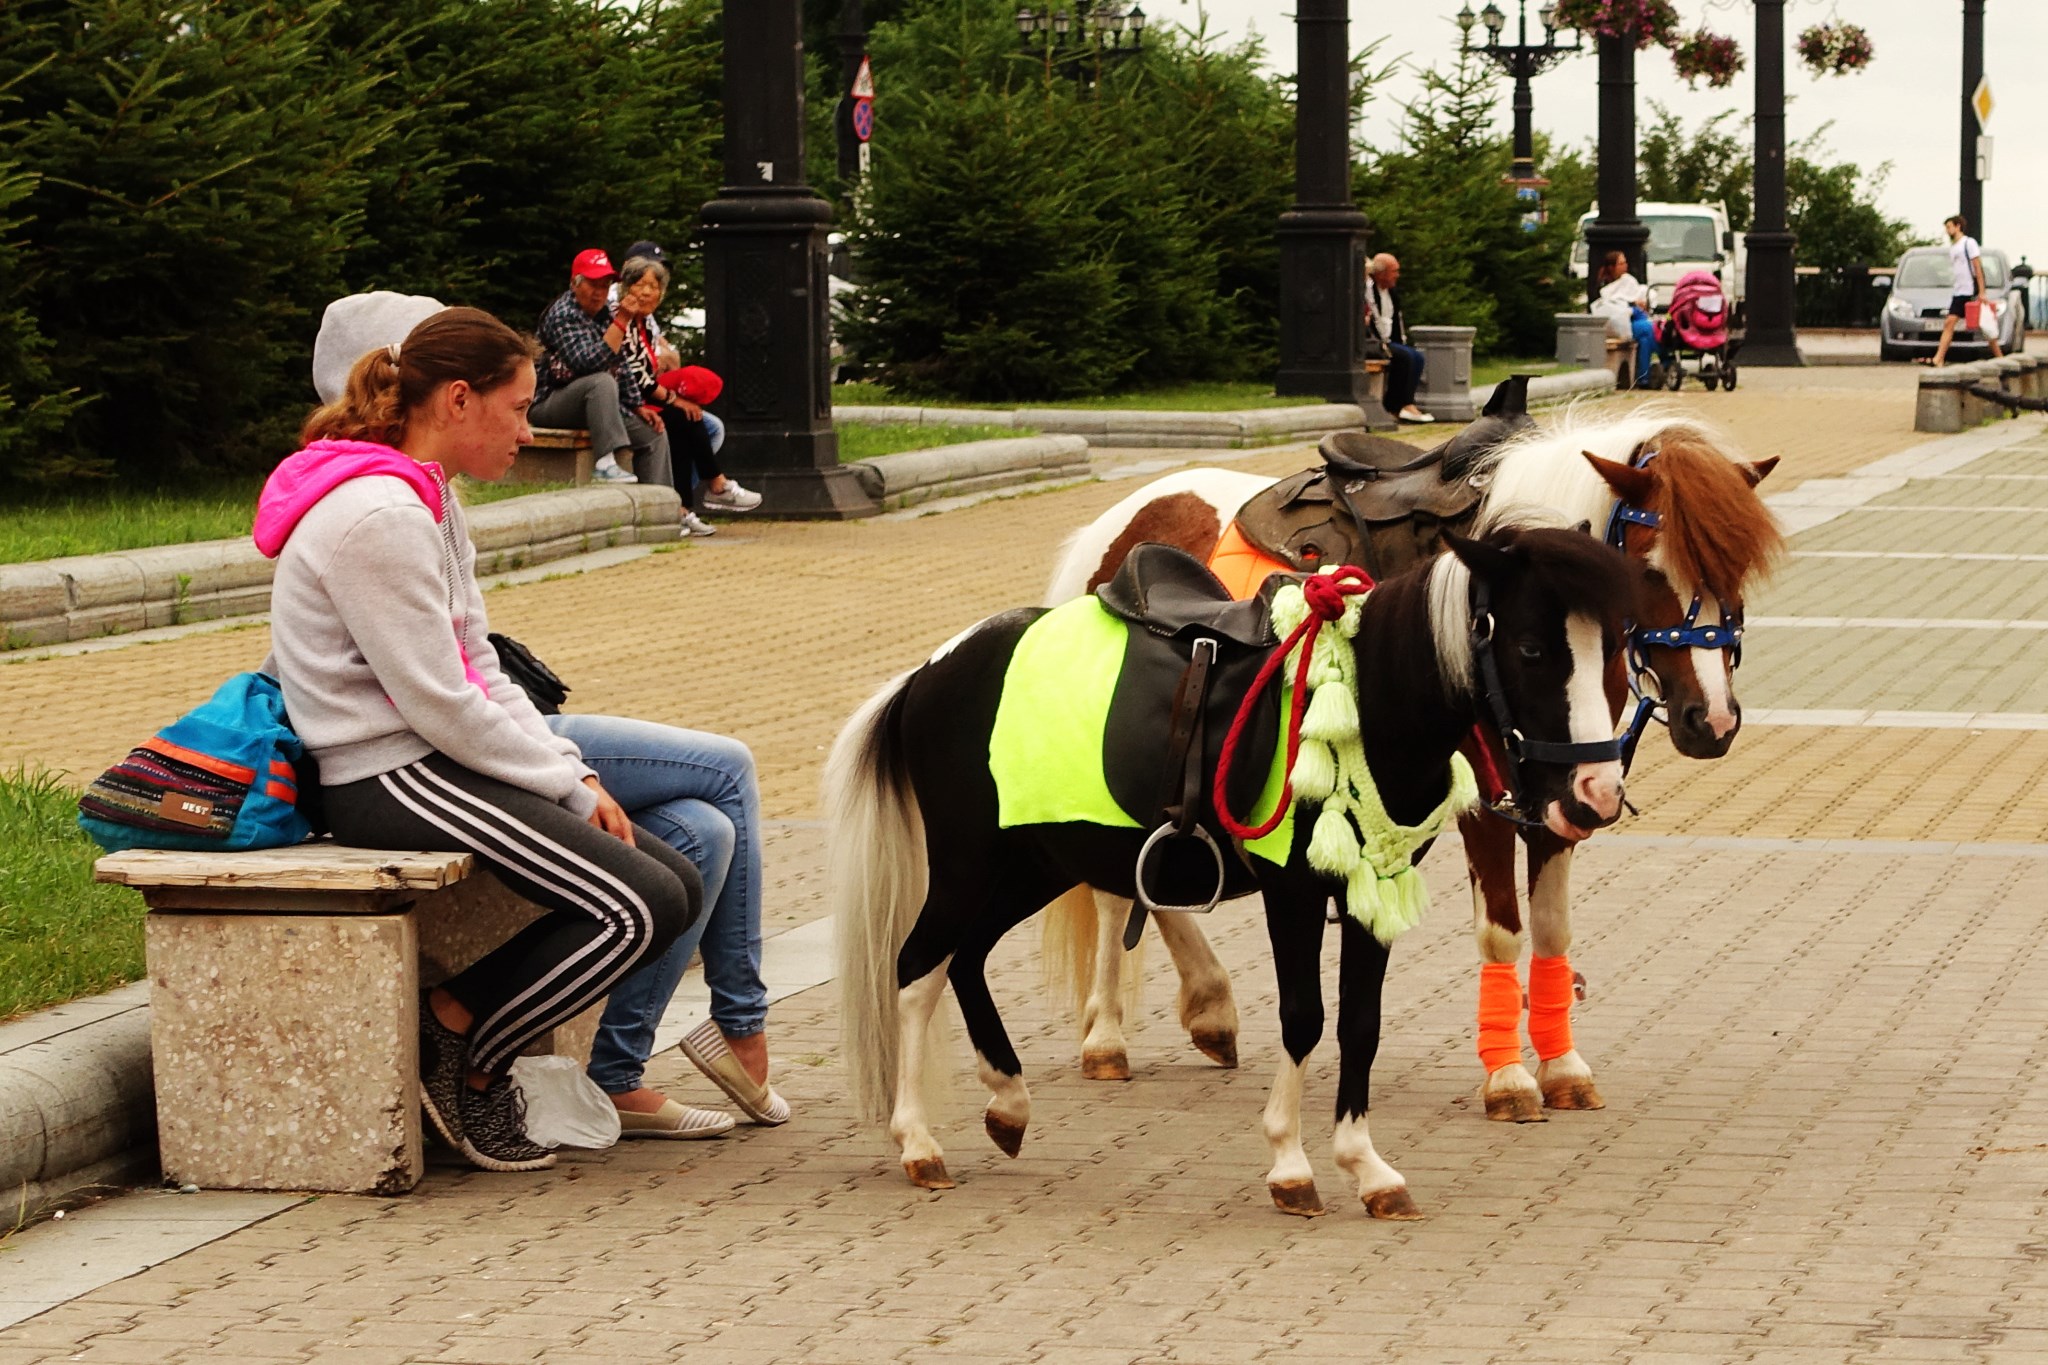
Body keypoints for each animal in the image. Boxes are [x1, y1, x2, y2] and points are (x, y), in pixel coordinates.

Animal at [823, 523, 1638, 1219]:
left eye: (1614, 646)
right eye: (1531, 649)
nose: (1595, 792)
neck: (1371, 694)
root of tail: (931, 671)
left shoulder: (1370, 892)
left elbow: (1361, 1025)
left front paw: (1368, 1168)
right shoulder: (1294, 894)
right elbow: (1305, 1018)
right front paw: (1291, 1166)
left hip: (1035, 861)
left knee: (965, 960)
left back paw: (1007, 1102)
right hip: (971, 862)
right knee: (917, 967)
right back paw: (918, 1143)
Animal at [1040, 411, 1777, 1129]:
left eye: (1739, 571)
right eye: (1651, 572)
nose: (1710, 719)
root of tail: (1120, 527)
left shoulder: (1563, 790)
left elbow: (1551, 926)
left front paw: (1562, 1067)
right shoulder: (1486, 797)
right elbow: (1503, 930)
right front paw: (1508, 1078)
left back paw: (1208, 1005)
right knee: (1111, 889)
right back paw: (1108, 1035)